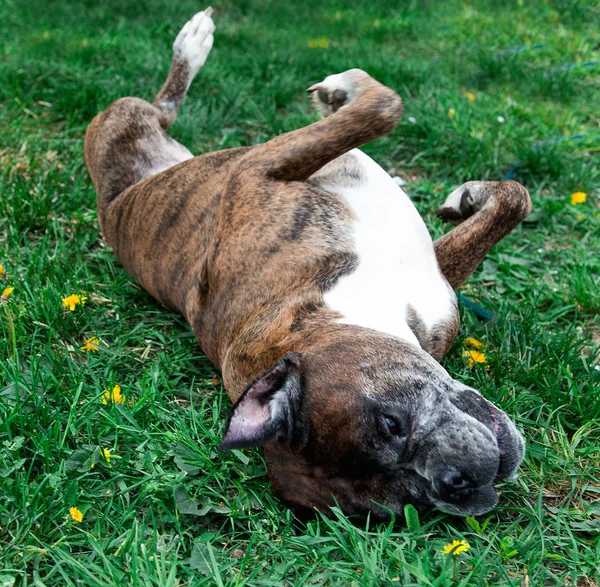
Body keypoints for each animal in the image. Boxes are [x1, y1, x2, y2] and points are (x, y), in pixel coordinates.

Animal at [83, 9, 528, 520]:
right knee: (163, 105)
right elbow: (383, 107)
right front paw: (346, 89)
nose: (455, 482)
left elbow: (512, 198)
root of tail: (110, 201)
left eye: (391, 422)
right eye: (405, 503)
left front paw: (465, 198)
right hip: (121, 118)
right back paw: (191, 47)